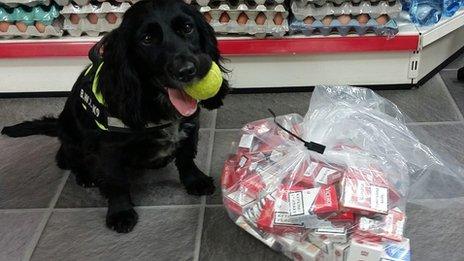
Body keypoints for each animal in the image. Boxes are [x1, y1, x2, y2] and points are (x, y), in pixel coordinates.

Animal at [1, 0, 228, 232]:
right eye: (147, 39)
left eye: (188, 28)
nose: (187, 70)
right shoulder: (108, 149)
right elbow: (116, 182)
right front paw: (120, 212)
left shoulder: (190, 126)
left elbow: (186, 157)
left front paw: (195, 180)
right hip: (72, 139)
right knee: (65, 158)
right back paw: (85, 175)